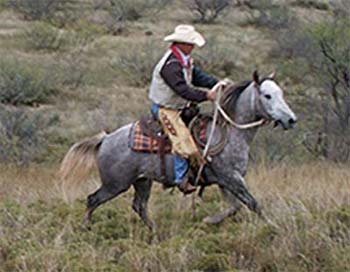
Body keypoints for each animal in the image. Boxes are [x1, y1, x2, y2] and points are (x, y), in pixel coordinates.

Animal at [60, 71, 296, 230]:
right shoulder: (232, 178)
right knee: (93, 199)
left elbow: (234, 207)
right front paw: (272, 226)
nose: (291, 120)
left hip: (142, 181)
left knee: (139, 206)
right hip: (115, 184)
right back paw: (86, 228)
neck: (229, 133)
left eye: (281, 93)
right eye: (267, 95)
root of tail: (106, 138)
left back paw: (155, 233)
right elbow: (253, 204)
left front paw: (210, 220)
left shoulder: (227, 181)